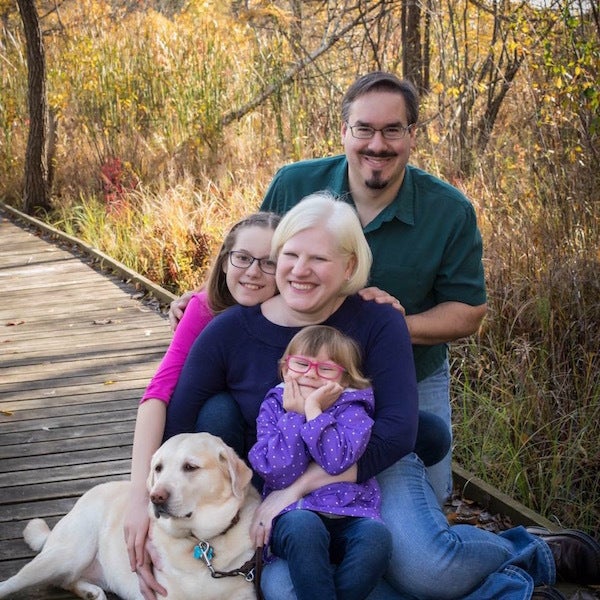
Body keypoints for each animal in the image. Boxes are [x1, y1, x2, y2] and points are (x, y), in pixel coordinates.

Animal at [0, 434, 262, 596]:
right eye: (158, 468)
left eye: (190, 467)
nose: (156, 497)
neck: (201, 542)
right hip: (68, 554)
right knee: (14, 582)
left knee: (66, 581)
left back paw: (90, 592)